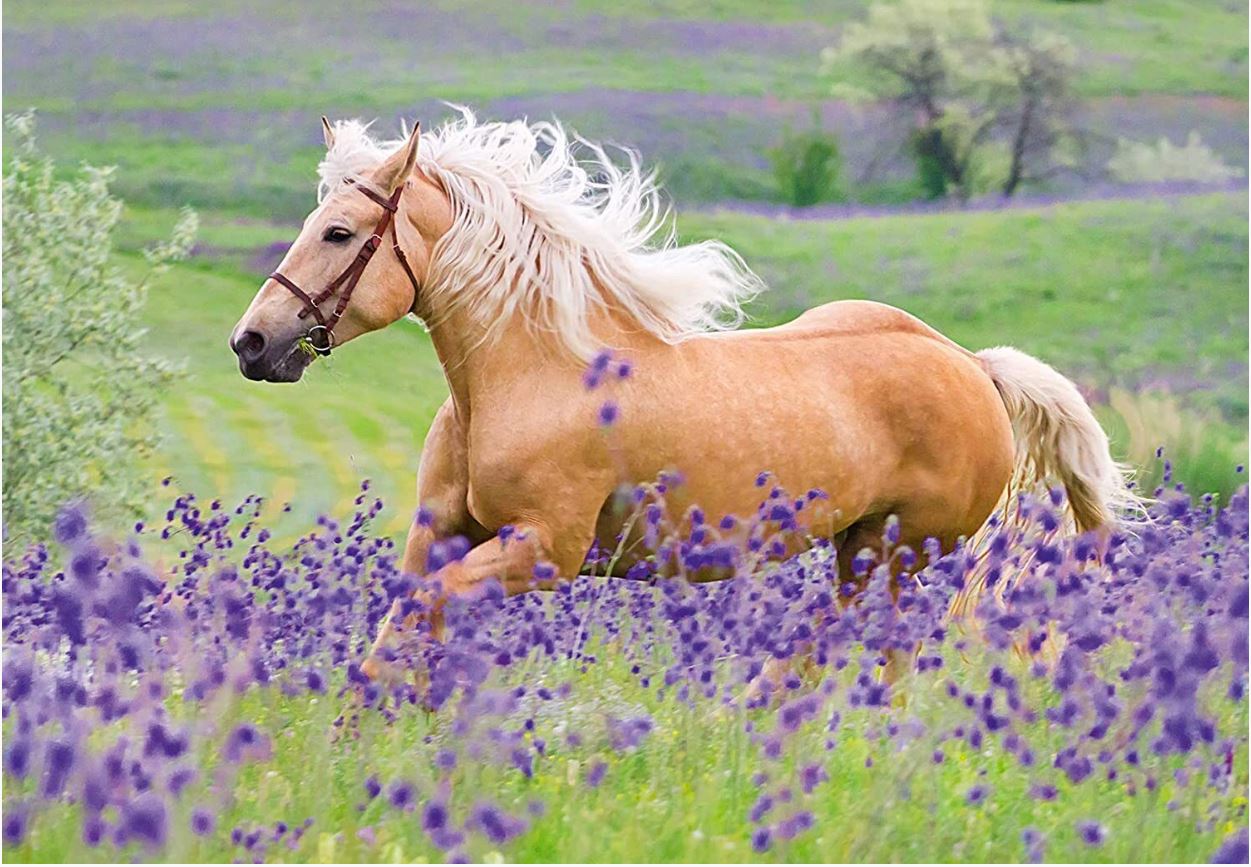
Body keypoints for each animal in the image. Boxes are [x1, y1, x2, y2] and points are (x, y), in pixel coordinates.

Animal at [230, 108, 1140, 687]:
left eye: (339, 233)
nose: (253, 342)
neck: (530, 373)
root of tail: (969, 364)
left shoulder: (543, 550)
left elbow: (424, 622)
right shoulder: (443, 536)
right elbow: (398, 634)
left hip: (900, 552)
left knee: (870, 649)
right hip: (860, 548)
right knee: (845, 644)